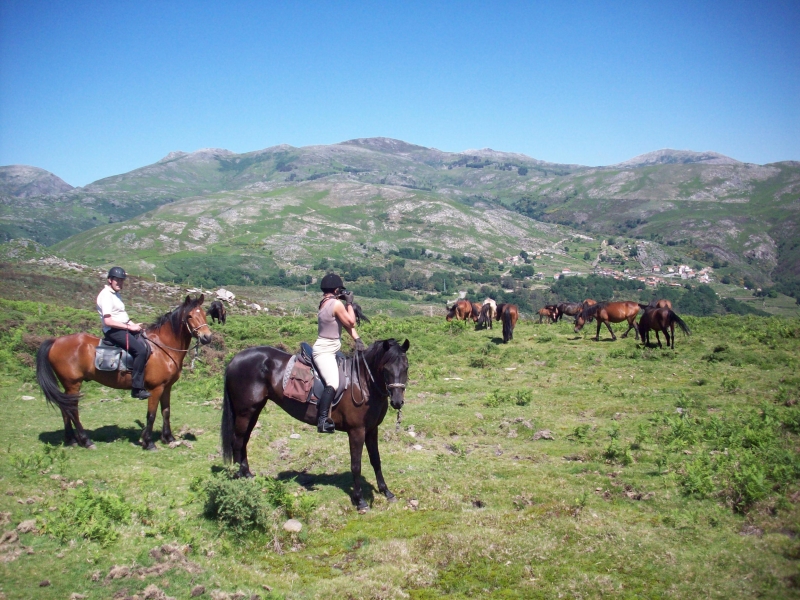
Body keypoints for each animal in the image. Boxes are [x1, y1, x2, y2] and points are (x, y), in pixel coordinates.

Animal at [35, 296, 212, 450]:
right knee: (72, 410)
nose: (207, 337)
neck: (162, 347)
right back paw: (86, 441)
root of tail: (56, 341)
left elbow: (166, 411)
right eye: (189, 316)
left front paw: (168, 438)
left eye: (204, 314)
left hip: (68, 385)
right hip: (73, 384)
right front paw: (148, 442)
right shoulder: (155, 388)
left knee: (65, 408)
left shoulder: (166, 387)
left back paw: (71, 439)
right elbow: (151, 414)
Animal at [220, 338, 410, 510]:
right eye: (386, 369)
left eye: (406, 367)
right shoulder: (357, 431)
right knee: (238, 442)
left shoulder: (371, 429)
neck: (362, 382)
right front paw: (360, 500)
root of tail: (235, 359)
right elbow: (356, 465)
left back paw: (247, 474)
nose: (397, 402)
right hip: (245, 412)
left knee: (243, 441)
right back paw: (240, 478)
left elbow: (376, 460)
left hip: (254, 411)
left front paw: (387, 492)